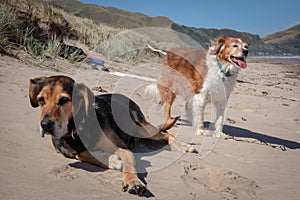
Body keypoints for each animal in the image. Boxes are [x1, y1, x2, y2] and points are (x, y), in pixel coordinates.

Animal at [29, 75, 196, 195]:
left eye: (64, 100)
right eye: (41, 100)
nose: (45, 125)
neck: (76, 130)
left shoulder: (123, 148)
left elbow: (128, 166)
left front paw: (133, 181)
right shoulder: (68, 151)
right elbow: (82, 153)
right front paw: (113, 160)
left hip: (141, 128)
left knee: (165, 133)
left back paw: (185, 146)